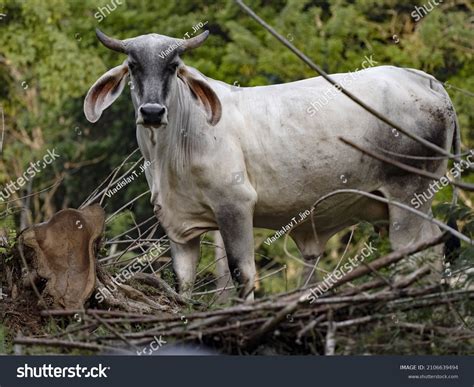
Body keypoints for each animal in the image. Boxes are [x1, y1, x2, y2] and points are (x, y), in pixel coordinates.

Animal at [83, 31, 458, 304]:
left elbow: (242, 274)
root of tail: (421, 79)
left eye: (174, 65)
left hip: (407, 193)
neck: (170, 150)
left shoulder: (235, 205)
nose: (151, 112)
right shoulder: (178, 223)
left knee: (412, 253)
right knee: (434, 246)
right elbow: (183, 283)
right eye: (132, 65)